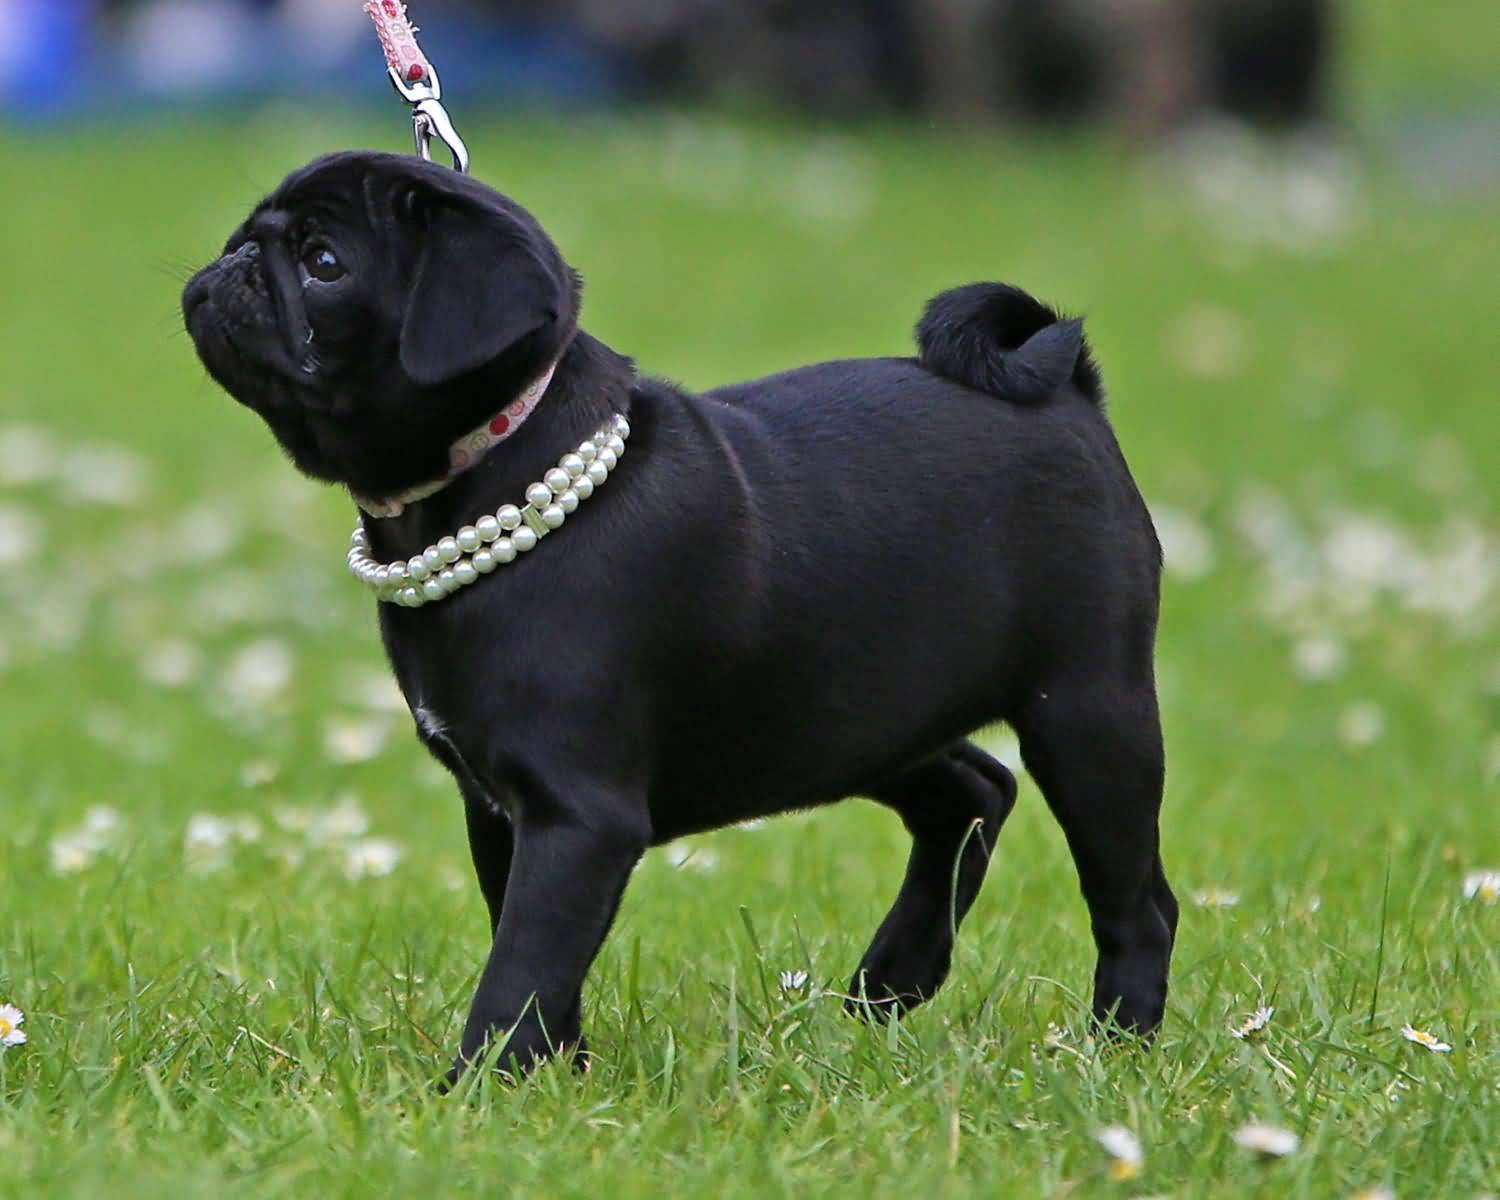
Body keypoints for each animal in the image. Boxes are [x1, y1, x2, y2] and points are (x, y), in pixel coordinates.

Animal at [181, 150, 1176, 1080]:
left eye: (324, 263)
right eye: (250, 233)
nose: (232, 260)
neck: (490, 477)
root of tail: (1067, 387)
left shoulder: (577, 817)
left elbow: (522, 967)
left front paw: (478, 1091)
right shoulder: (500, 809)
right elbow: (540, 958)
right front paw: (560, 1076)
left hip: (1084, 713)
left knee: (1136, 901)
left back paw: (1117, 1044)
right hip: (847, 714)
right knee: (973, 791)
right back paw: (894, 978)